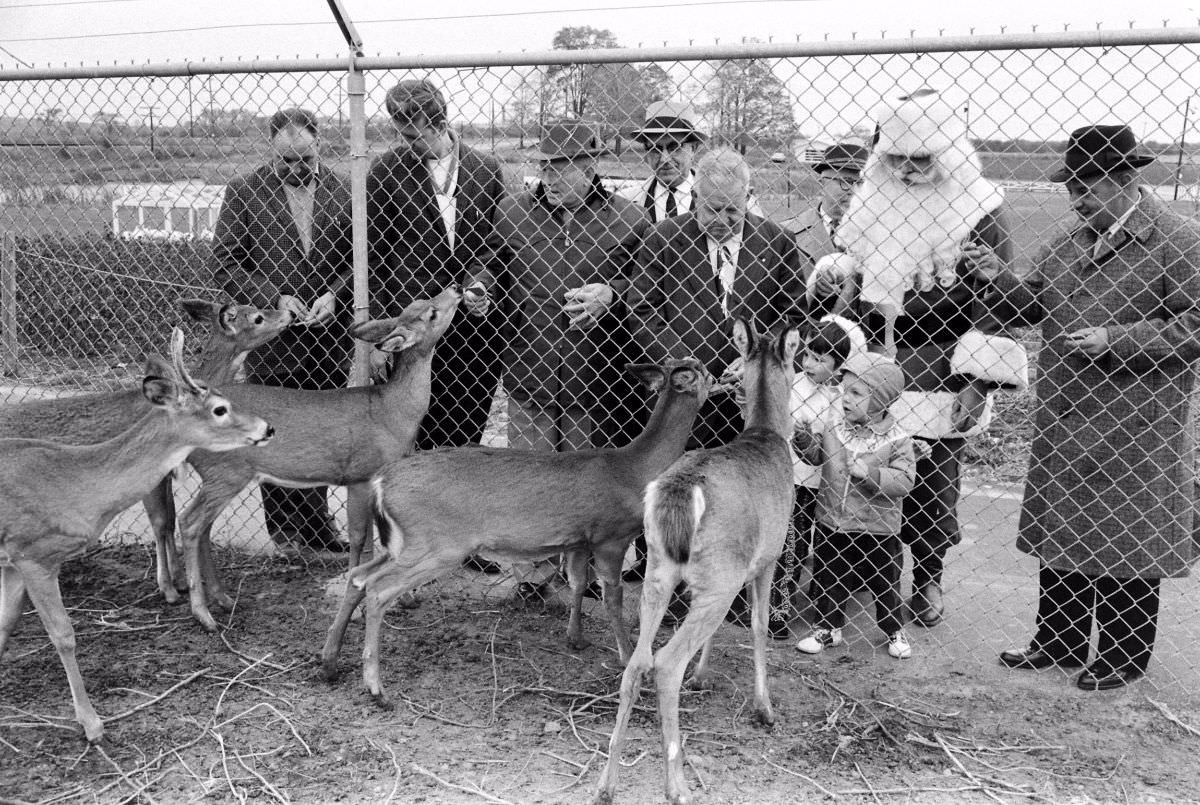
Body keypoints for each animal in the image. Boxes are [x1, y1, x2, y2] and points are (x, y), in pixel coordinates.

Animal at [0, 298, 292, 602]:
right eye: (257, 317)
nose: (290, 313)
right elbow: (161, 520)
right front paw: (169, 588)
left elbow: (171, 518)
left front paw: (179, 580)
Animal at [0, 331, 272, 748]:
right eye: (220, 409)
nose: (267, 428)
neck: (72, 482)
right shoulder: (33, 555)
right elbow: (63, 634)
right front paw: (92, 724)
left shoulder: (13, 562)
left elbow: (4, 624)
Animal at [175, 286, 460, 633]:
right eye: (431, 312)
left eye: (422, 303)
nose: (457, 289)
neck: (393, 413)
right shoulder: (360, 475)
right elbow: (360, 539)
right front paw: (358, 601)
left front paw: (405, 598)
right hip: (226, 472)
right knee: (190, 522)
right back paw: (204, 615)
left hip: (220, 476)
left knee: (201, 526)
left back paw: (222, 599)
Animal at [319, 357, 710, 705]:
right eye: (702, 370)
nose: (719, 374)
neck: (635, 470)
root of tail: (381, 483)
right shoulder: (610, 535)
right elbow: (612, 598)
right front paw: (627, 656)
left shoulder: (580, 539)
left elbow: (577, 583)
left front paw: (576, 638)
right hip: (437, 543)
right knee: (377, 588)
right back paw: (376, 689)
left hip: (401, 543)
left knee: (358, 575)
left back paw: (330, 662)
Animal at [595, 319, 801, 805]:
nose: (723, 374)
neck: (767, 433)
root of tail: (678, 491)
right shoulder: (767, 557)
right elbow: (759, 627)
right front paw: (764, 709)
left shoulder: (730, 570)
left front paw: (702, 676)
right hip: (717, 575)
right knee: (666, 663)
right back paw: (677, 786)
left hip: (661, 571)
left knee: (636, 662)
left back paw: (606, 784)